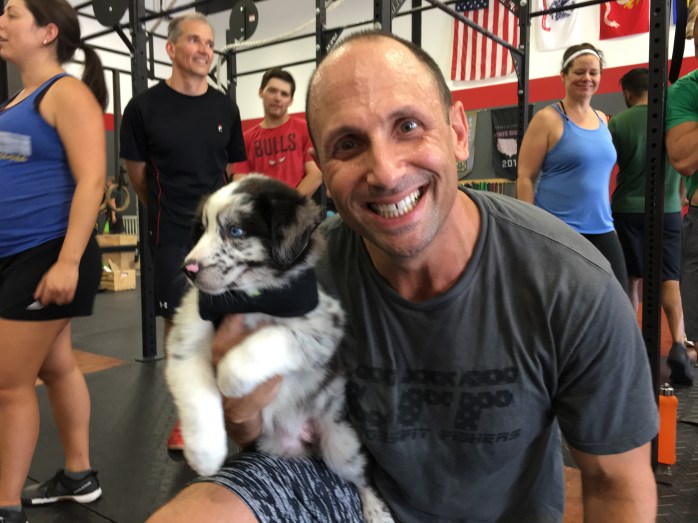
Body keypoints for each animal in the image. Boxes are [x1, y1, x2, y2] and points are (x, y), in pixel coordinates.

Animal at [165, 174, 391, 522]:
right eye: (201, 229)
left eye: (236, 231)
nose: (187, 269)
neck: (249, 297)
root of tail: (300, 442)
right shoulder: (187, 338)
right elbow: (196, 396)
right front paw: (204, 453)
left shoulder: (324, 325)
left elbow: (269, 339)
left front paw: (230, 377)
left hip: (341, 444)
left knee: (362, 478)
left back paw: (377, 511)